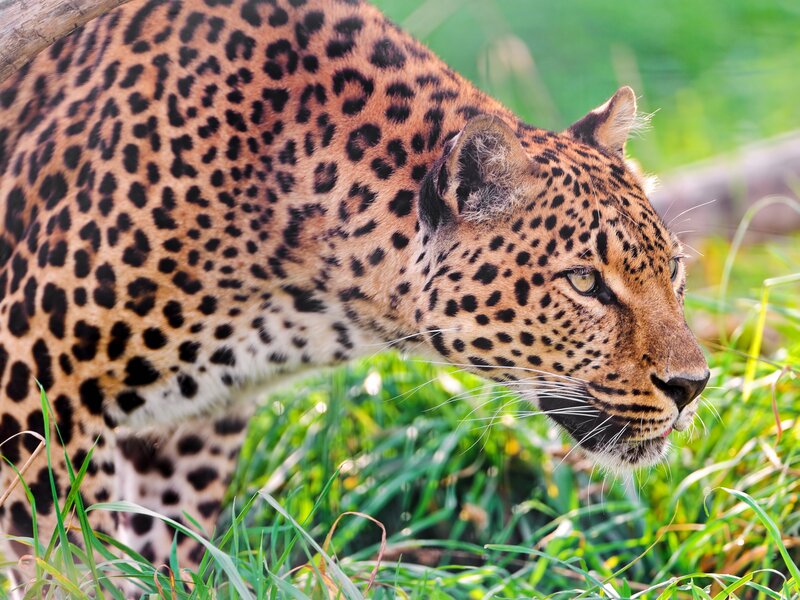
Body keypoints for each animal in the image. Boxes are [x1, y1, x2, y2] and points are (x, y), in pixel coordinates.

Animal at [0, 0, 709, 585]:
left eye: (673, 270)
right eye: (585, 281)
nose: (693, 386)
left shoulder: (187, 434)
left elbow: (156, 551)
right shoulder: (35, 390)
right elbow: (59, 560)